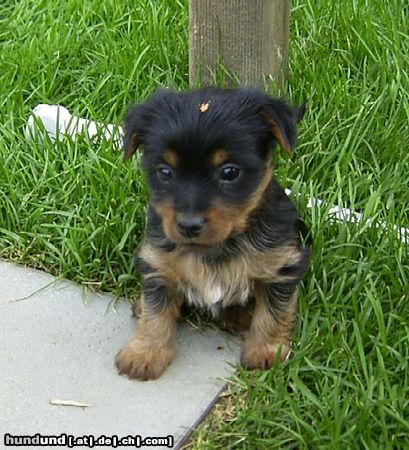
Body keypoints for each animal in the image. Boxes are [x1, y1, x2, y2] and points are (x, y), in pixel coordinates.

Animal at [115, 87, 310, 380]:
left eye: (229, 171)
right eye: (164, 172)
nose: (188, 225)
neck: (217, 246)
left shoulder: (281, 267)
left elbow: (273, 313)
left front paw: (266, 352)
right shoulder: (158, 264)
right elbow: (156, 312)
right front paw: (144, 353)